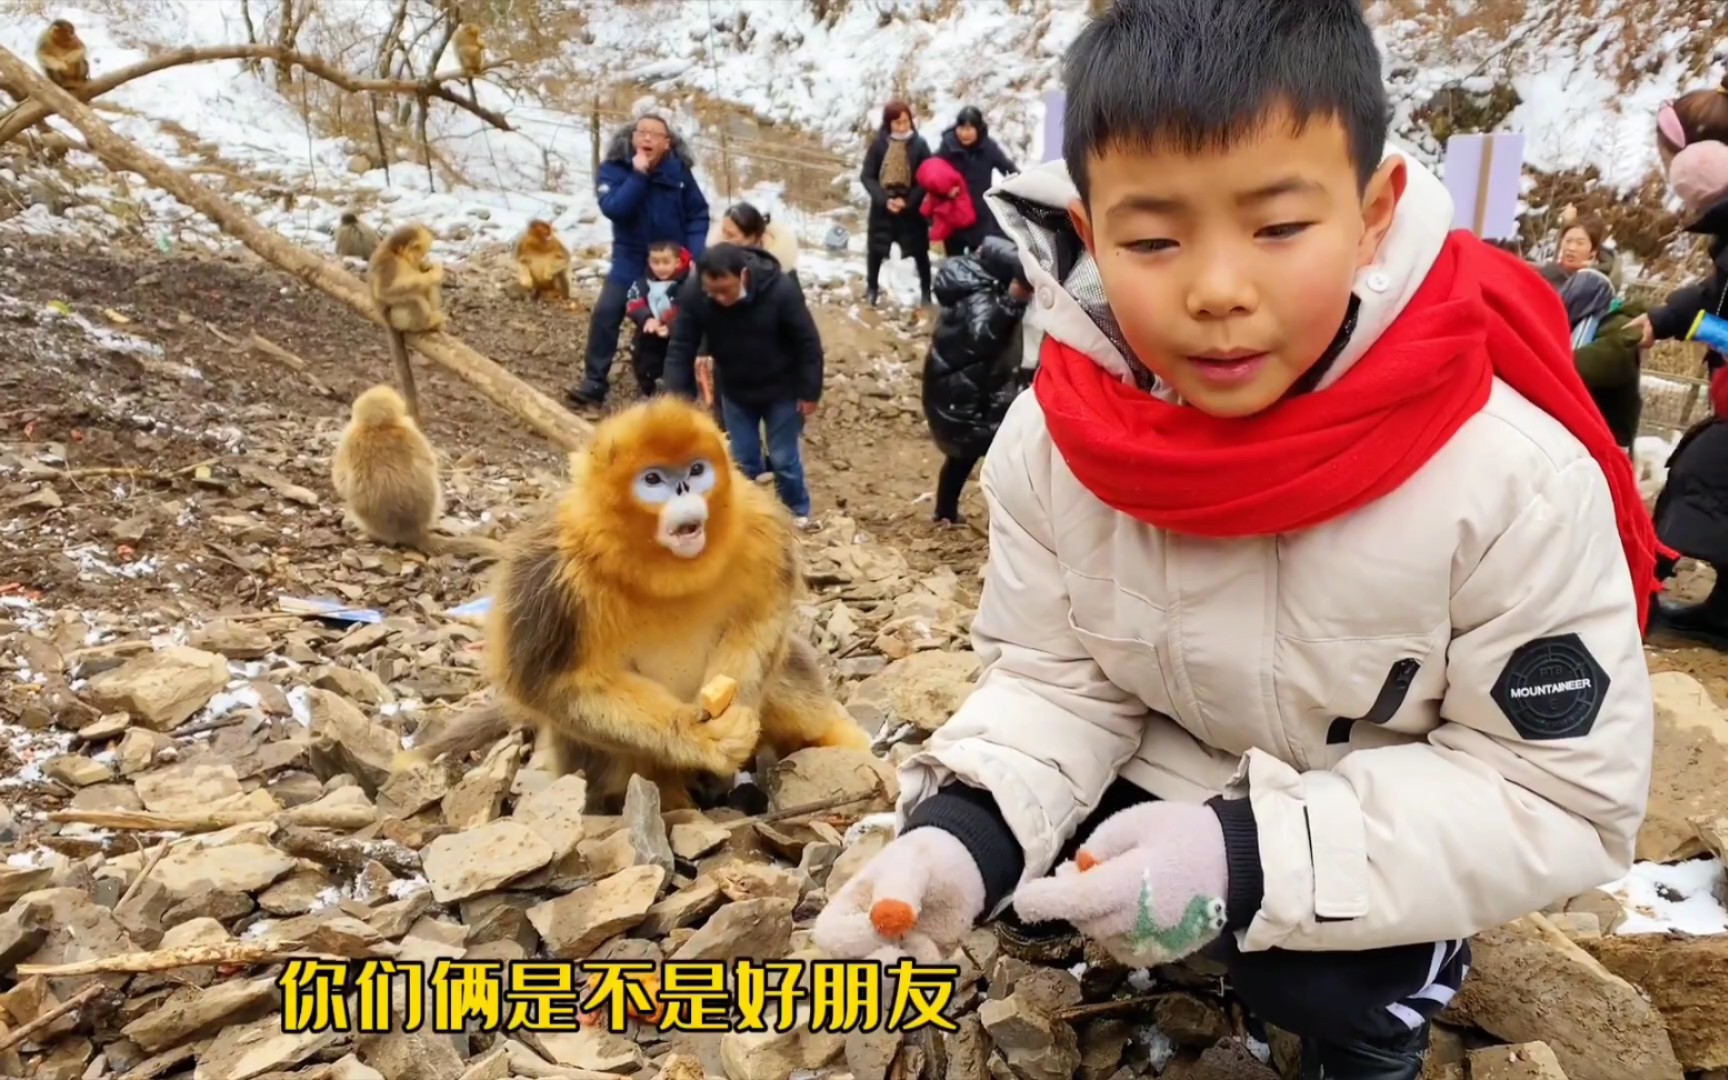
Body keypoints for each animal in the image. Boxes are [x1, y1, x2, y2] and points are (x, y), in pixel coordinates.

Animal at [395, 393, 870, 808]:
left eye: (696, 469)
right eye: (654, 479)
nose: (683, 488)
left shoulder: (762, 526)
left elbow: (761, 621)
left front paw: (731, 711)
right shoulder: (549, 571)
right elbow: (555, 684)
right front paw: (702, 737)